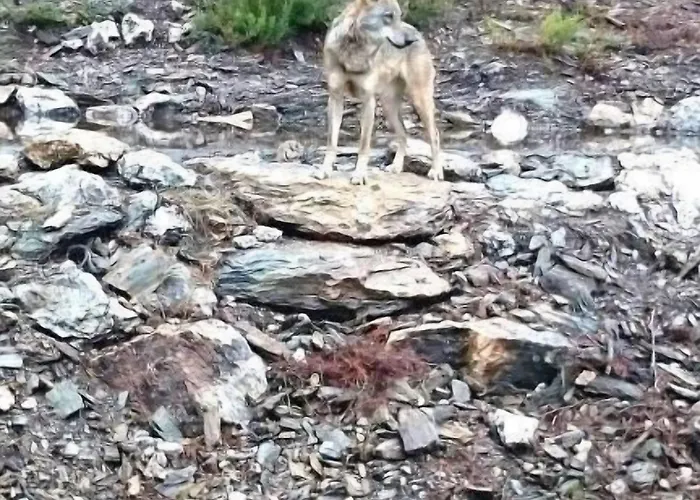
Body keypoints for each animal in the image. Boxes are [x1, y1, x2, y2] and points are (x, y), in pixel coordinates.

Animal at [317, 0, 443, 185]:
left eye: (398, 16)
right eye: (388, 16)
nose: (410, 40)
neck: (354, 48)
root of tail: (417, 31)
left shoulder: (368, 100)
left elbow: (363, 146)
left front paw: (359, 175)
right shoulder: (335, 98)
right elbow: (331, 142)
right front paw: (324, 171)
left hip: (419, 101)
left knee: (435, 135)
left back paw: (436, 171)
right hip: (388, 107)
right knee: (403, 134)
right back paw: (396, 167)